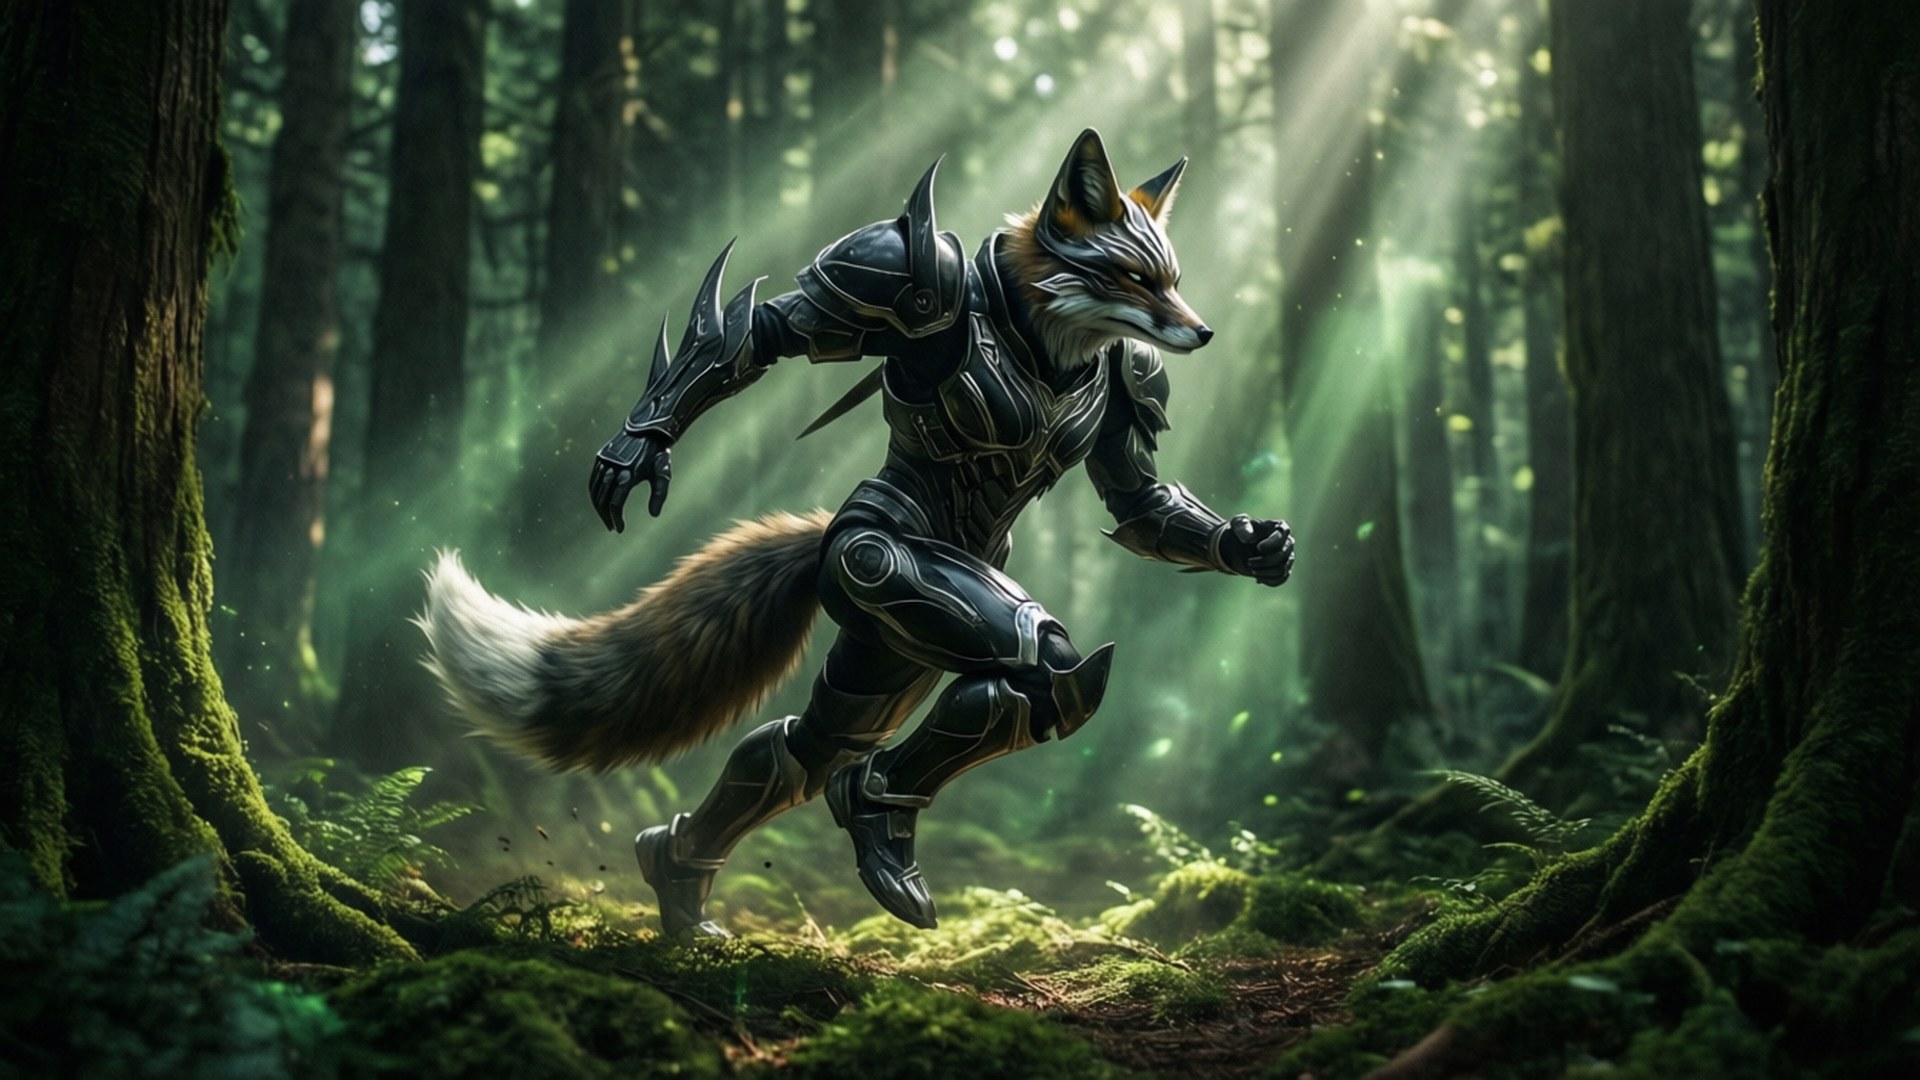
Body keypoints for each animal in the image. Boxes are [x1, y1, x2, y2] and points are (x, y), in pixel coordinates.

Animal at [420, 128, 1294, 938]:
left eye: (1169, 278)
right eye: (1132, 276)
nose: (1204, 333)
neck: (1042, 331)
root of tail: (824, 541)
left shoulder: (1134, 381)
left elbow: (1140, 500)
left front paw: (1255, 546)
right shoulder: (898, 273)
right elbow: (765, 333)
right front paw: (639, 451)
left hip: (893, 652)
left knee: (818, 745)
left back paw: (687, 877)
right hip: (875, 574)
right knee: (987, 680)